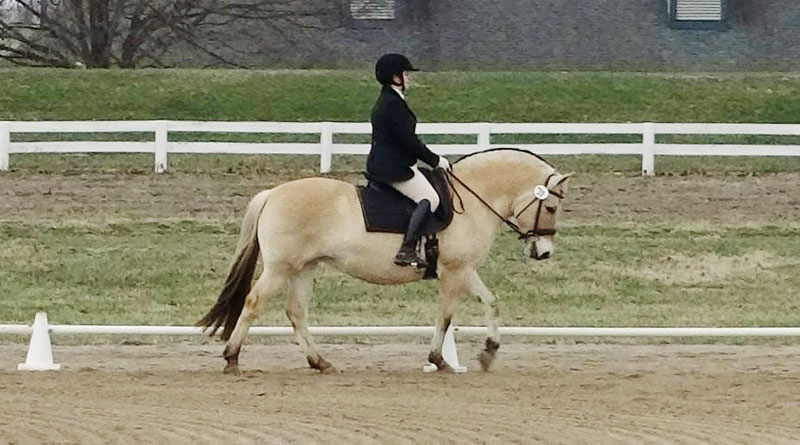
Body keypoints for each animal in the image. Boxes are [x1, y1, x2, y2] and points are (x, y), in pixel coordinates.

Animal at [197, 147, 572, 372]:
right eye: (552, 207)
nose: (543, 252)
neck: (472, 200)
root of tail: (272, 194)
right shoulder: (454, 272)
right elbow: (446, 317)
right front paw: (439, 360)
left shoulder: (465, 270)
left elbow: (491, 302)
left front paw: (488, 352)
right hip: (280, 268)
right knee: (254, 302)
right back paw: (232, 358)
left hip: (304, 268)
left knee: (296, 312)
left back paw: (320, 362)